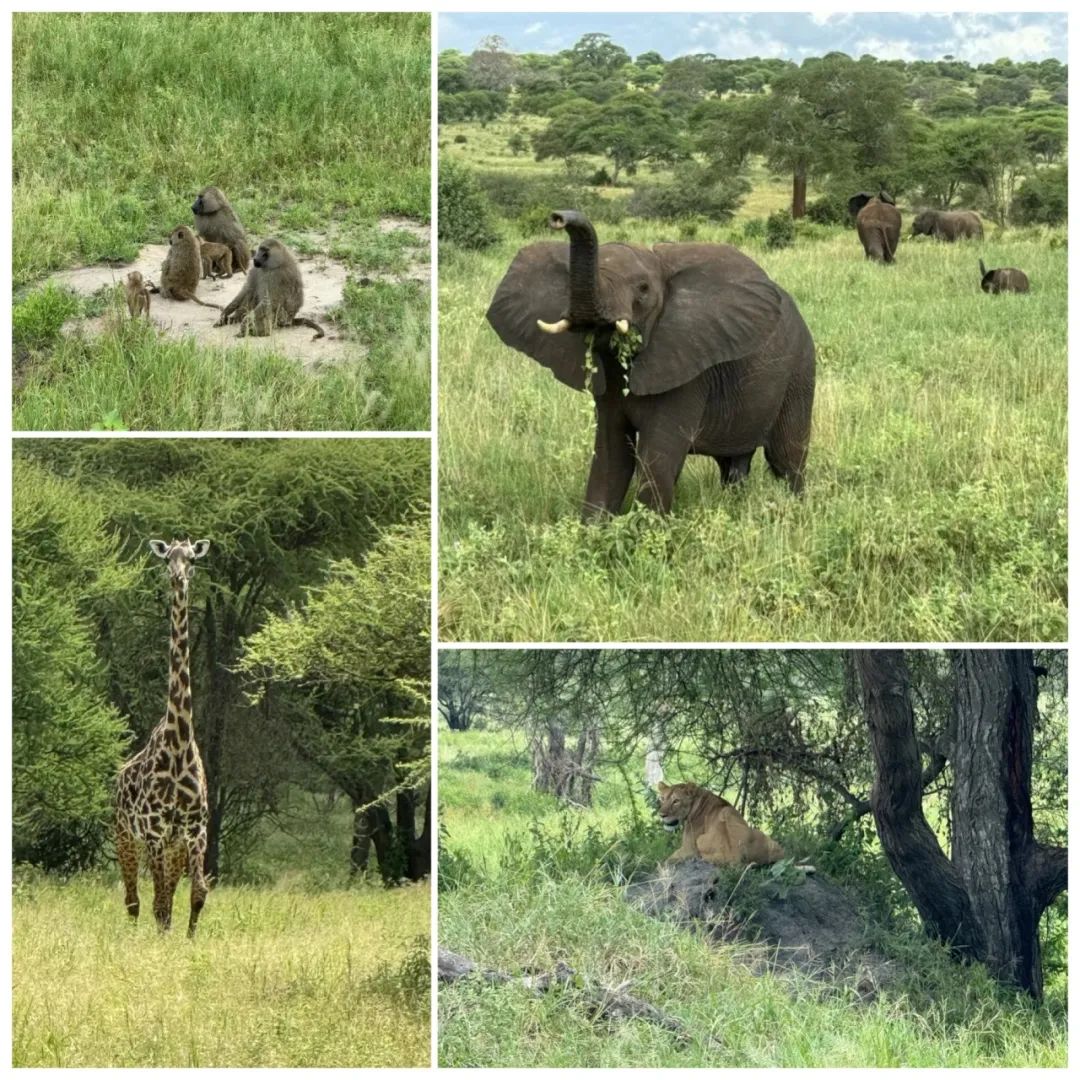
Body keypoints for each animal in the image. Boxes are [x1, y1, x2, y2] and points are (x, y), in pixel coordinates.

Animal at [486, 208, 812, 520]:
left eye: (642, 289)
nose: (557, 218)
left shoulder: (686, 370)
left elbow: (656, 457)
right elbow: (611, 456)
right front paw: (593, 531)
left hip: (800, 371)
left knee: (787, 457)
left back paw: (797, 513)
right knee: (733, 463)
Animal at [656, 781, 786, 864]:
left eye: (676, 801)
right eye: (662, 798)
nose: (661, 815)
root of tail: (734, 856)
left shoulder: (689, 849)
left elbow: (665, 861)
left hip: (700, 840)